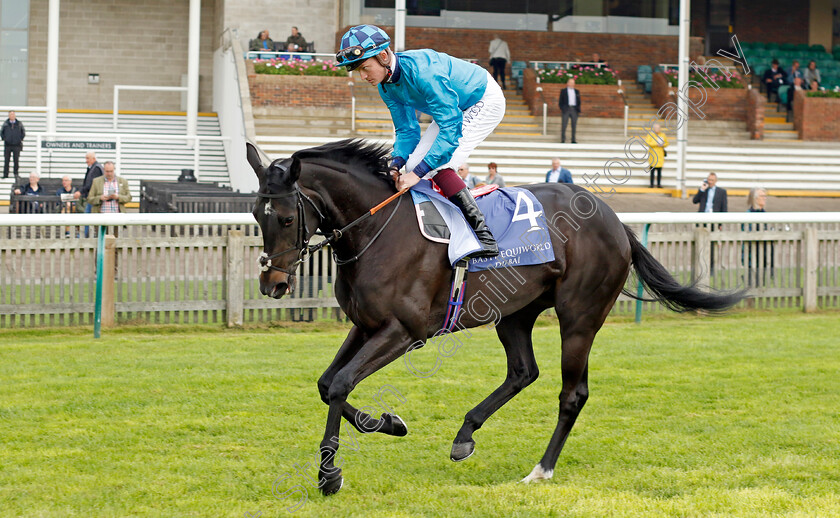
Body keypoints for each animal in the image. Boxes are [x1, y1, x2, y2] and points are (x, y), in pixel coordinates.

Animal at [246, 140, 744, 498]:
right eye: (255, 213)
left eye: (286, 218)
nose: (272, 283)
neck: (376, 231)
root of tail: (614, 219)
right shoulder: (366, 325)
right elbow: (327, 383)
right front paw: (390, 423)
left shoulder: (404, 332)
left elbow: (342, 384)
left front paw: (330, 475)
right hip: (516, 314)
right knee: (523, 371)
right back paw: (465, 434)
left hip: (580, 316)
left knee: (572, 393)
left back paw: (540, 470)